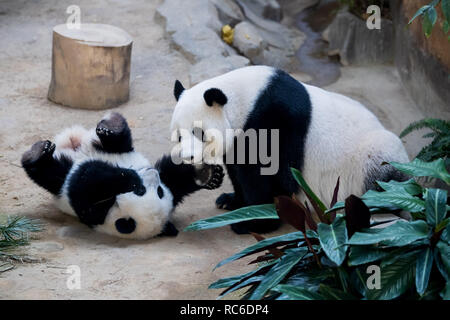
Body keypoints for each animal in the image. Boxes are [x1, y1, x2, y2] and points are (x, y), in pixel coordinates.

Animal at [21, 112, 225, 240]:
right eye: (142, 190)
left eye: (159, 191)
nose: (152, 174)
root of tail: (75, 144)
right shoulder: (96, 213)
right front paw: (209, 175)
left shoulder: (94, 212)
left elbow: (86, 180)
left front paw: (207, 175)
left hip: (64, 176)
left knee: (51, 174)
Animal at [171, 65, 410, 235]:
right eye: (179, 135)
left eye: (199, 132)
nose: (187, 157)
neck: (243, 100)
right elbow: (239, 172)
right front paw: (232, 202)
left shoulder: (272, 120)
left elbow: (263, 177)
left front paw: (252, 223)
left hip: (374, 160)